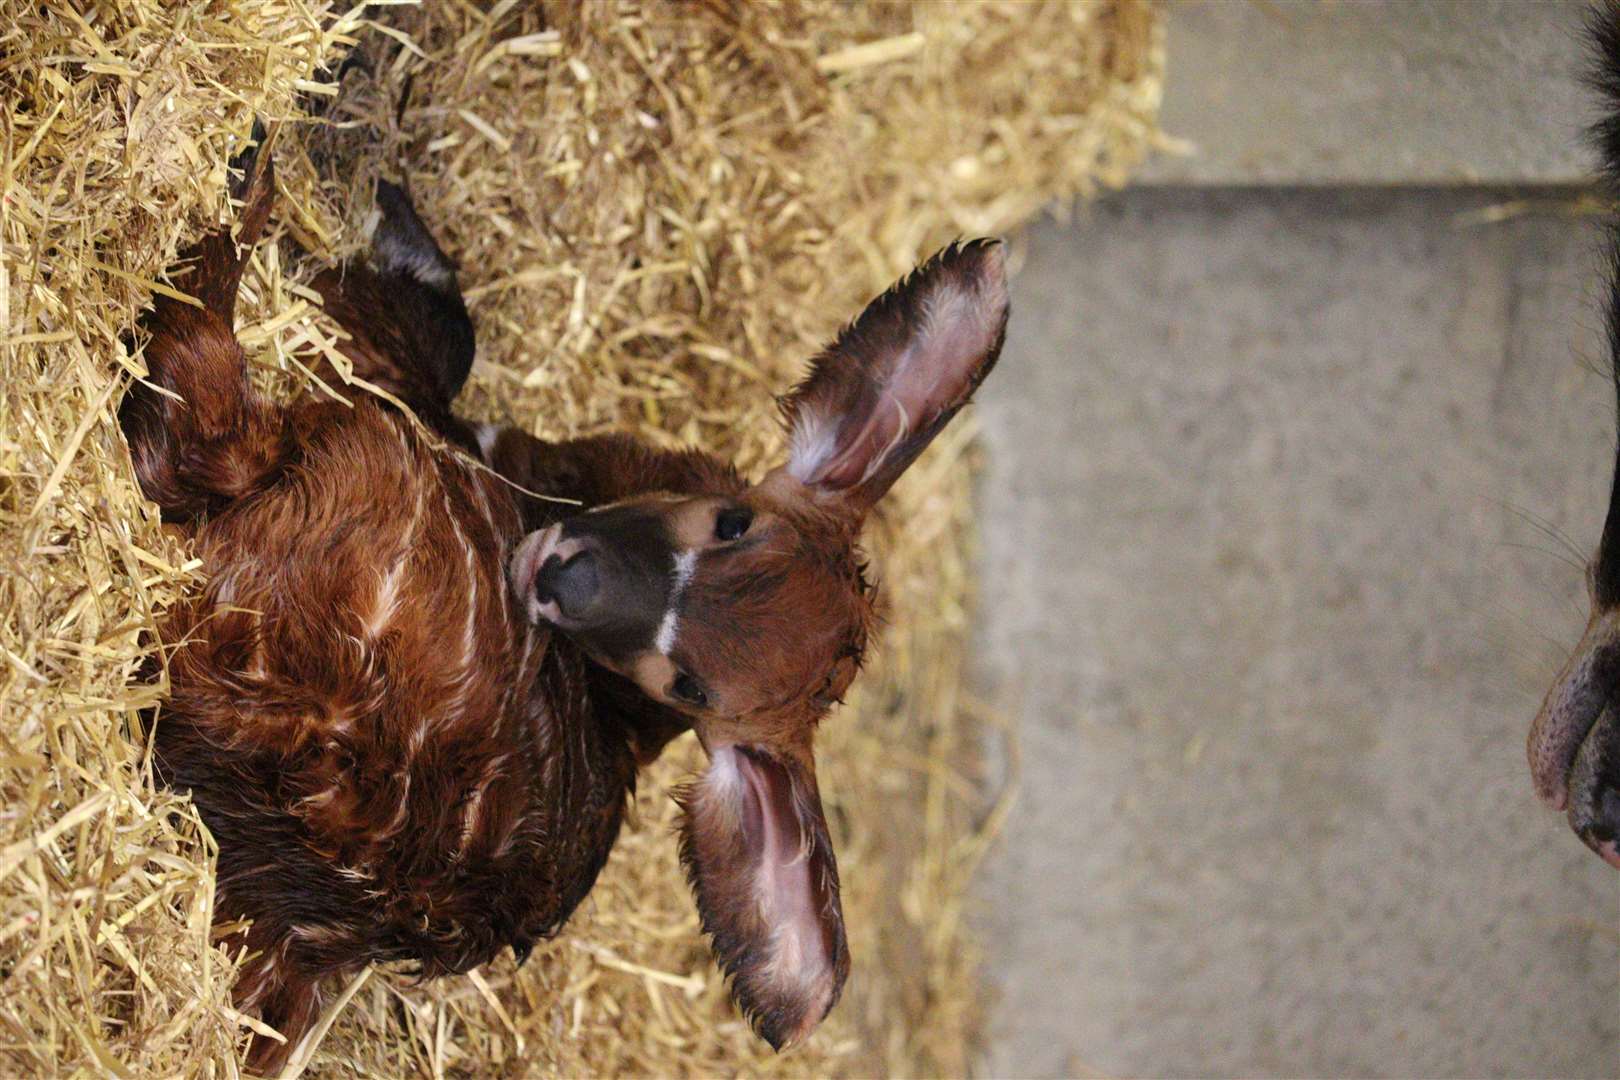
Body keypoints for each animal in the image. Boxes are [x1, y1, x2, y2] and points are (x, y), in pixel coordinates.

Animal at [126, 137, 1004, 1075]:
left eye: (691, 687)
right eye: (732, 521)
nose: (565, 579)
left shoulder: (390, 401)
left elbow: (422, 317)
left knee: (193, 409)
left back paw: (248, 180)